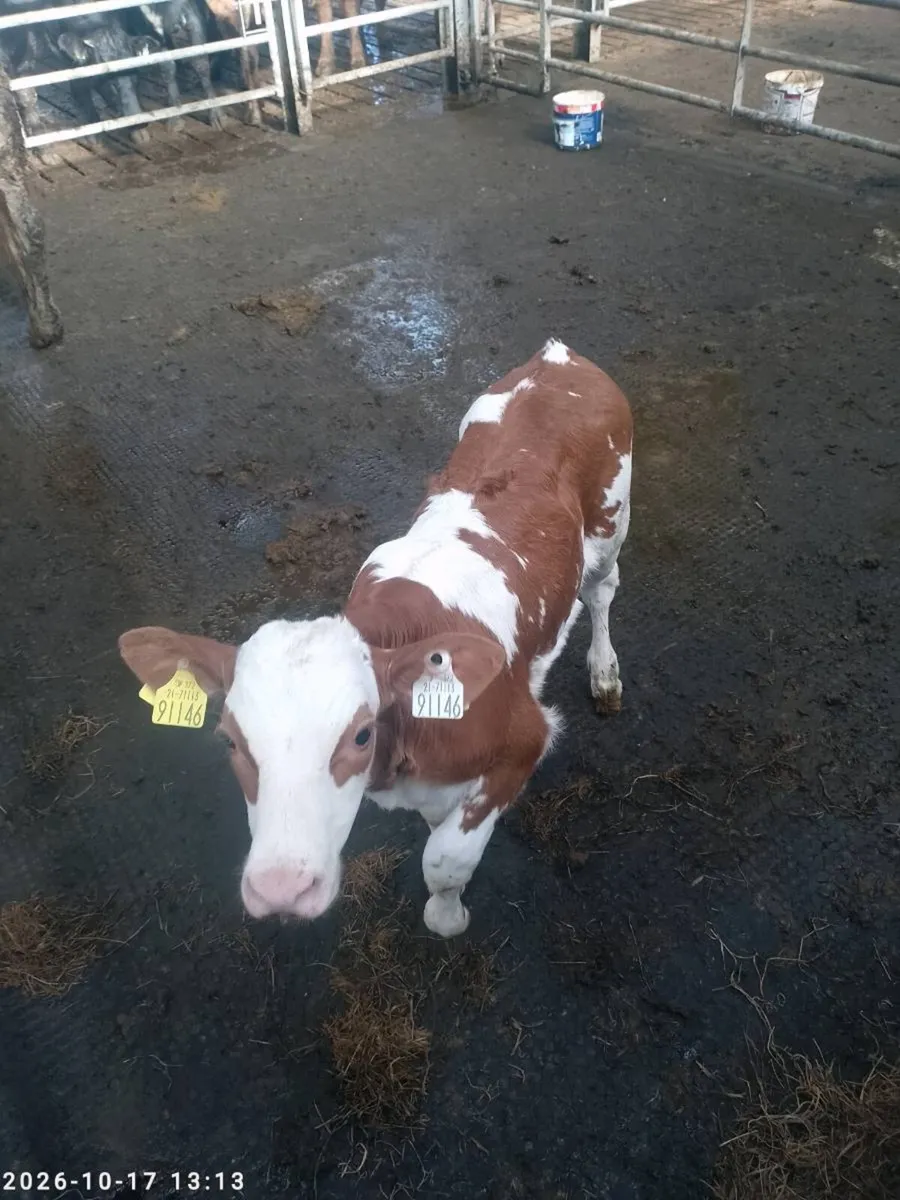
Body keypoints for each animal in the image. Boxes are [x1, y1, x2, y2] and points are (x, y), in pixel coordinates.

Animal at [118, 340, 632, 938]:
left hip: (611, 520)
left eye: (361, 734)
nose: (282, 889)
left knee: (601, 591)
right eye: (228, 740)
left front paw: (447, 917)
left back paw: (604, 673)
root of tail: (558, 357)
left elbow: (445, 858)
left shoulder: (522, 741)